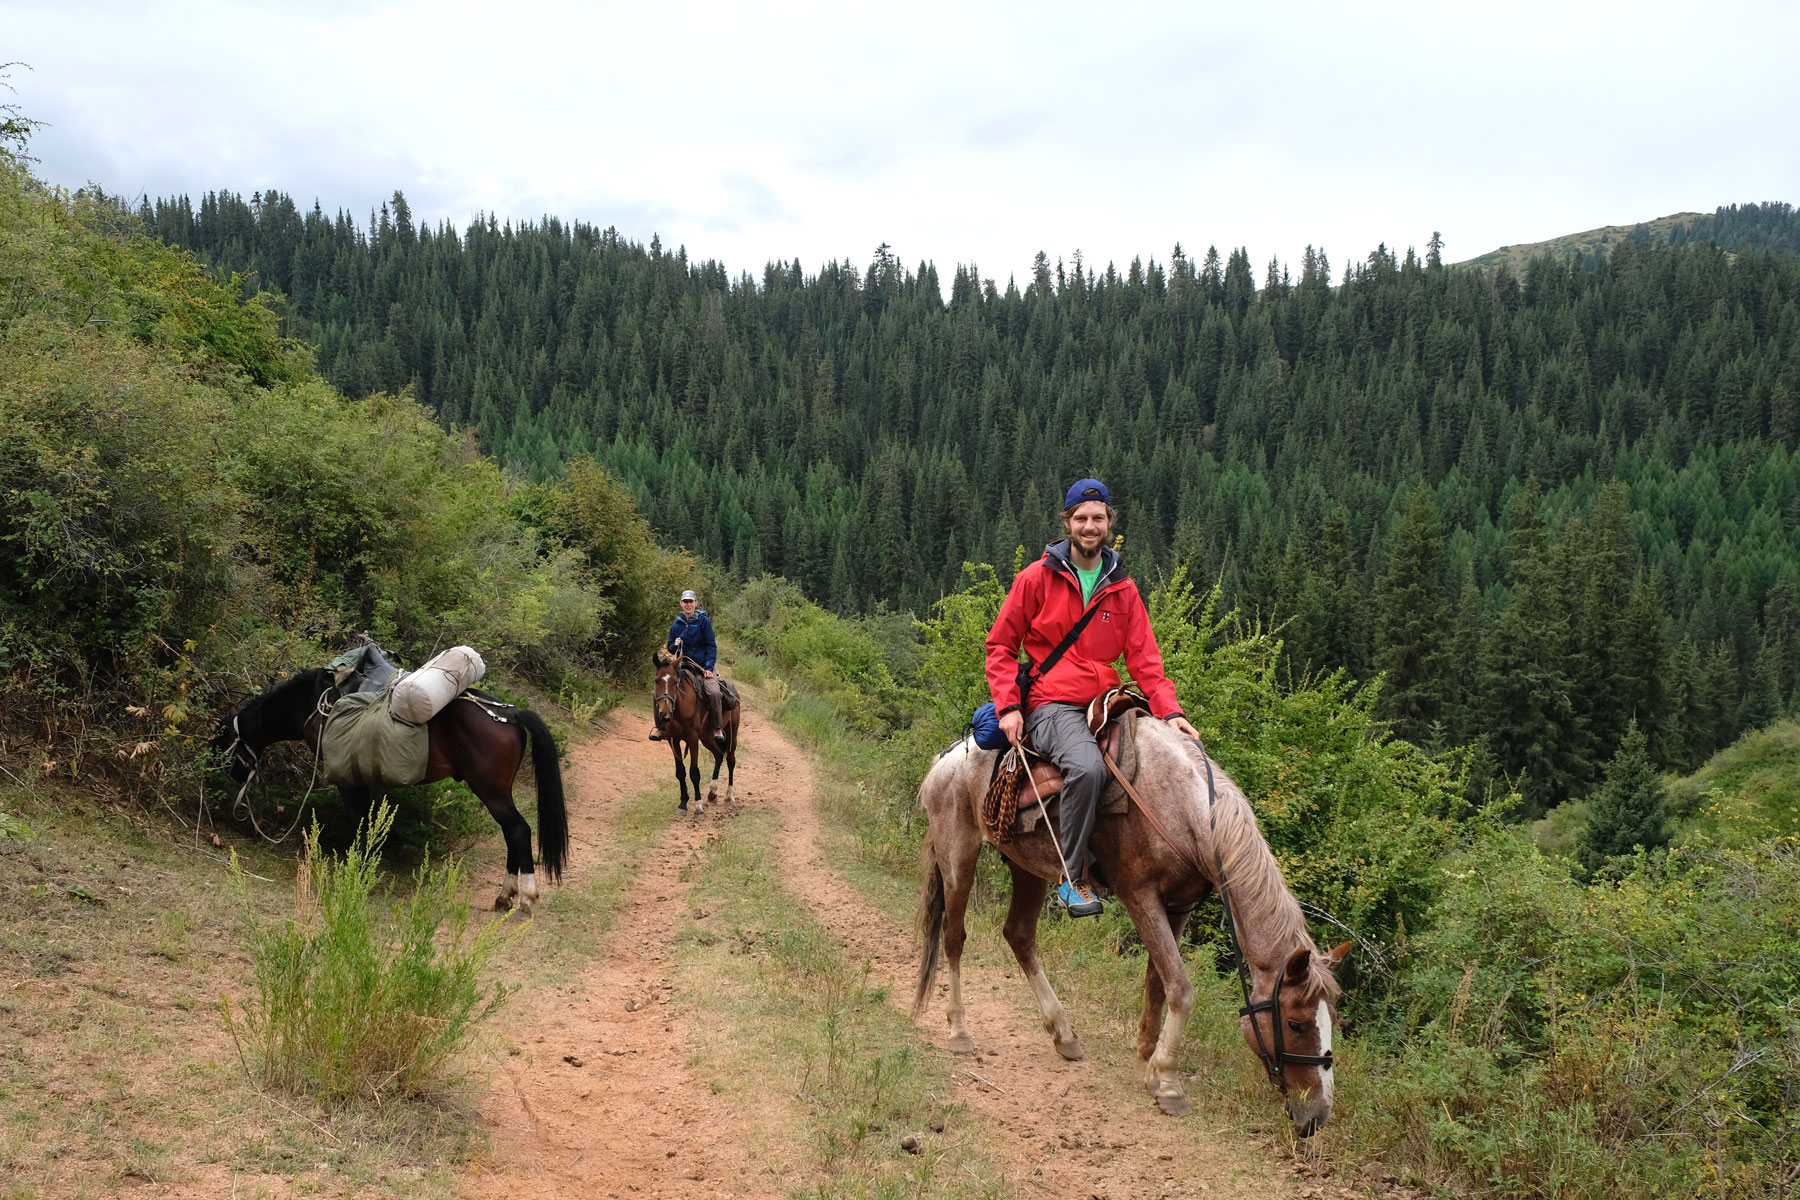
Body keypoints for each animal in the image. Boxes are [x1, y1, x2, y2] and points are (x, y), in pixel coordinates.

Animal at [655, 651, 738, 820]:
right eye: (656, 681)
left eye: (675, 682)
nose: (665, 713)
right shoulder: (673, 739)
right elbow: (680, 772)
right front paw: (683, 803)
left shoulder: (692, 738)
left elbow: (694, 773)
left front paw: (698, 807)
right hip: (707, 738)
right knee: (718, 755)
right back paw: (712, 792)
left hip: (732, 734)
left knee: (730, 760)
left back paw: (729, 795)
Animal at [914, 719, 1353, 1144]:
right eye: (1295, 1024)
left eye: (1332, 1018)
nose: (1316, 1116)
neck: (1182, 809)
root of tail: (945, 759)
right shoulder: (1141, 896)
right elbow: (1180, 988)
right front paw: (1170, 1082)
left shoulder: (1179, 906)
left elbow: (1158, 982)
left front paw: (1148, 1061)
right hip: (959, 858)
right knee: (954, 938)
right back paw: (959, 1031)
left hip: (1026, 868)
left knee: (1019, 935)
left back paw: (1063, 1034)